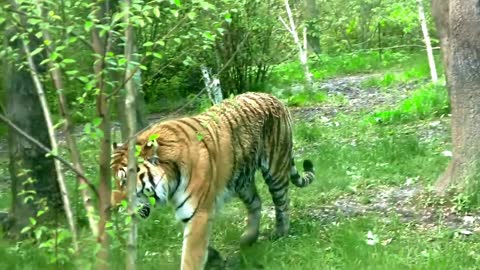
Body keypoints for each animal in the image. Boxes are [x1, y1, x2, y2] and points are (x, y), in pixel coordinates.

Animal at [111, 92, 316, 268]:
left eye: (125, 181)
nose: (113, 208)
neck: (171, 180)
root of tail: (272, 96)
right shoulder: (189, 213)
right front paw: (215, 258)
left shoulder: (199, 212)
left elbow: (191, 255)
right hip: (241, 180)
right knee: (256, 202)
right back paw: (248, 238)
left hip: (275, 168)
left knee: (282, 202)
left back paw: (281, 232)